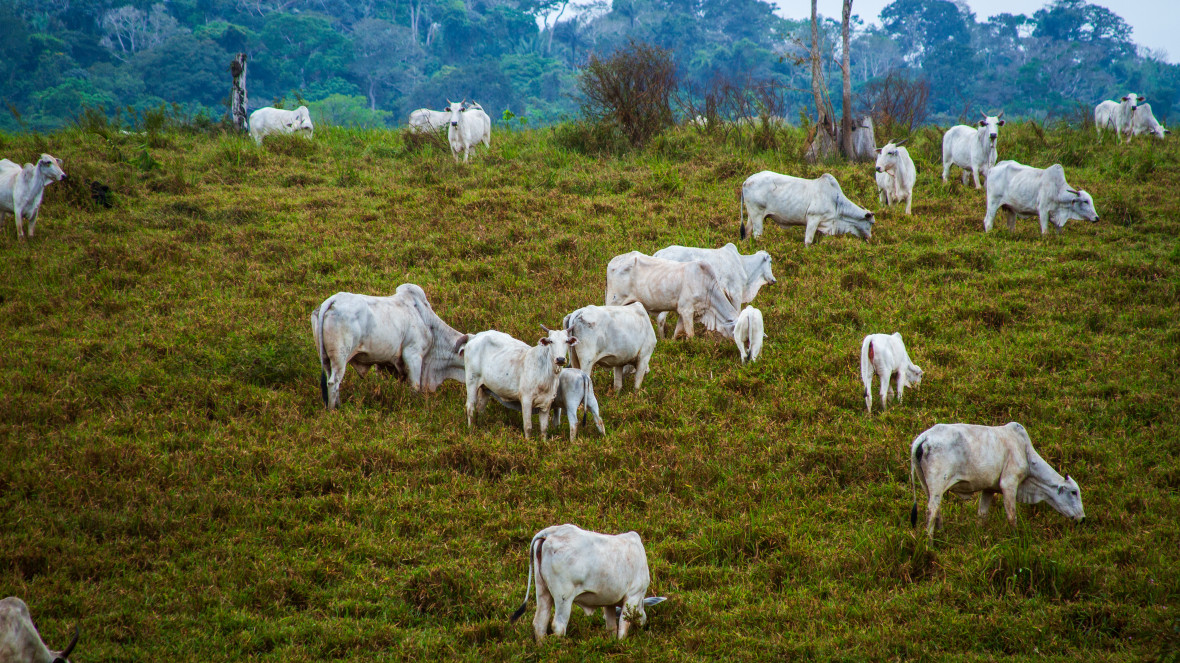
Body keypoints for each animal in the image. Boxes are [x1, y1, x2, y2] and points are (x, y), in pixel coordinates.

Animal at [311, 284, 467, 408]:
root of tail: (332, 301)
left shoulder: (385, 362)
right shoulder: (413, 355)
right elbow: (415, 387)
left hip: (325, 358)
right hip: (340, 358)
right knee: (333, 383)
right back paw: (334, 411)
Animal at [507, 521, 665, 641]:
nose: (644, 624)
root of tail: (551, 532)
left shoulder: (609, 601)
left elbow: (611, 627)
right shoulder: (633, 595)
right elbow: (623, 627)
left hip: (542, 590)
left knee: (540, 623)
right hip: (563, 597)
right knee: (558, 626)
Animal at [736, 168, 877, 244]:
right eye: (871, 223)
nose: (870, 239)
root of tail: (746, 181)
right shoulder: (813, 218)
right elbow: (808, 241)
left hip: (751, 216)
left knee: (747, 232)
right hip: (757, 215)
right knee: (757, 235)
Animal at [910, 419, 1085, 540]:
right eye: (1074, 492)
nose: (1082, 519)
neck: (1025, 452)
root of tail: (925, 437)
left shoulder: (989, 489)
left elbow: (982, 515)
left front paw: (980, 535)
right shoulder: (1009, 484)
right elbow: (1012, 516)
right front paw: (1015, 539)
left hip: (926, 485)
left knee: (936, 510)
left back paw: (941, 534)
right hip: (937, 484)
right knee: (931, 510)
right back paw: (930, 543)